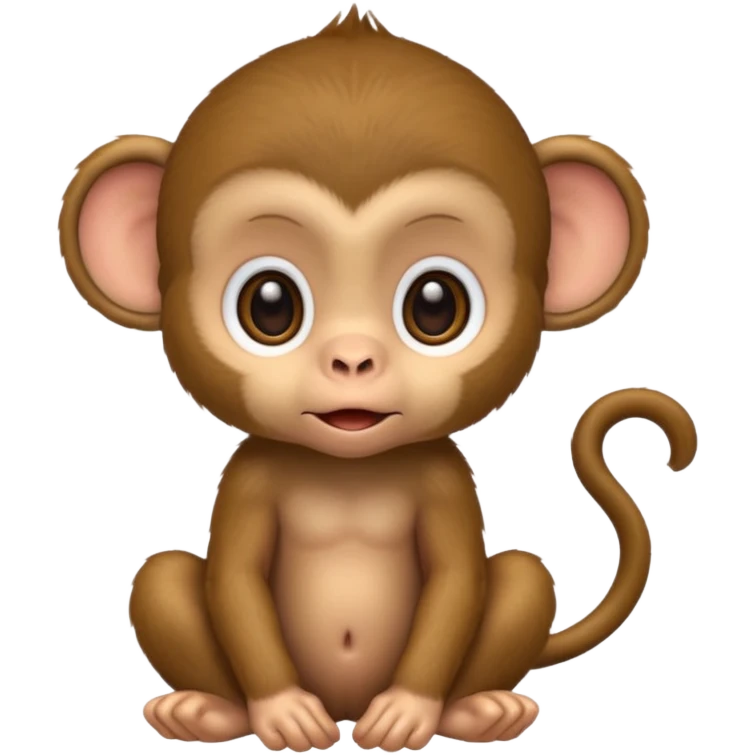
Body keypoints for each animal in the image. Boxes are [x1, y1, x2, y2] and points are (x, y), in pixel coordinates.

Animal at [58, 5, 697, 751]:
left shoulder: (444, 478)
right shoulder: (249, 476)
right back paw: (206, 711)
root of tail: (346, 705)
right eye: (269, 305)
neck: (349, 470)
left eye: (435, 305)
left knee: (521, 575)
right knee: (160, 576)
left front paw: (410, 713)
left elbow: (456, 579)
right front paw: (281, 712)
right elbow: (236, 581)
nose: (353, 359)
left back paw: (479, 710)